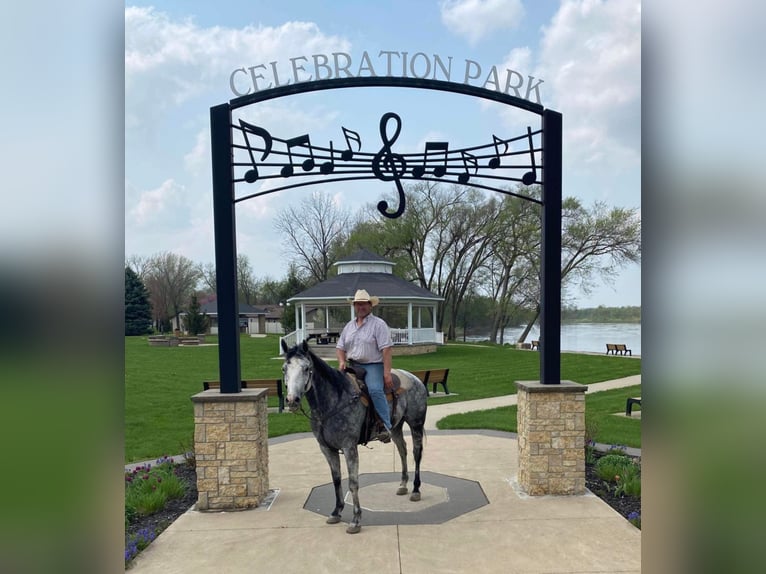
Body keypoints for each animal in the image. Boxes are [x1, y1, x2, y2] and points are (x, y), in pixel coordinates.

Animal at [282, 342, 428, 536]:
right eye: (284, 368)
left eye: (306, 368)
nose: (292, 400)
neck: (334, 401)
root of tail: (415, 378)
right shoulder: (326, 448)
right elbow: (336, 480)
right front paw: (336, 512)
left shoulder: (349, 447)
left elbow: (353, 483)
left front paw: (356, 520)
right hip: (396, 427)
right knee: (402, 450)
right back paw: (403, 485)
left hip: (416, 424)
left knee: (416, 453)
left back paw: (416, 490)